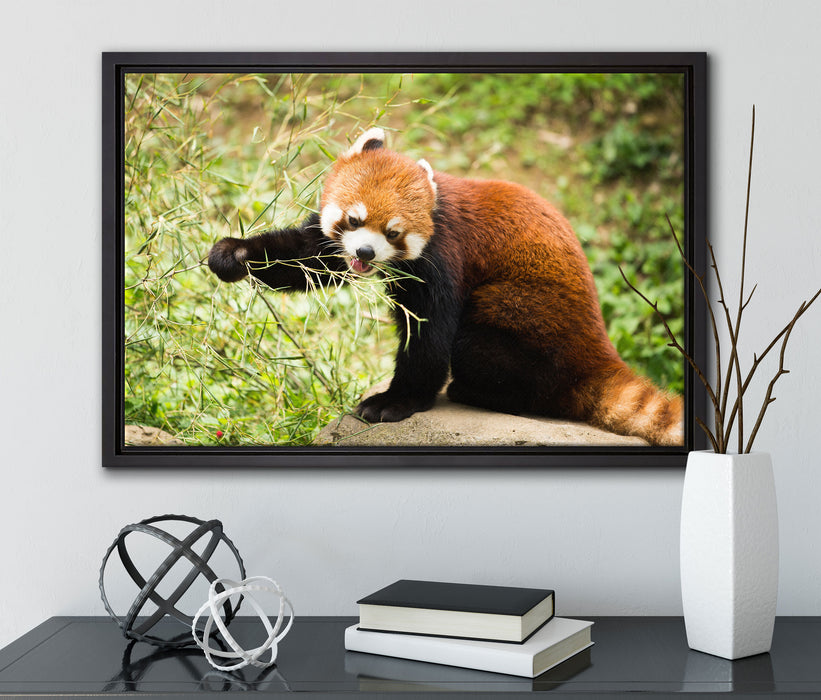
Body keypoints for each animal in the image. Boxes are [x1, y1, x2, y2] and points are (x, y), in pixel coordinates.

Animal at [208, 128, 683, 446]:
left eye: (394, 232)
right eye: (354, 220)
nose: (365, 252)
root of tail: (598, 352)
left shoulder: (443, 258)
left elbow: (429, 338)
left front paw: (395, 402)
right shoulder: (333, 244)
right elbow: (309, 257)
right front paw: (235, 254)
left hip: (522, 318)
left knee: (479, 345)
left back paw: (476, 391)